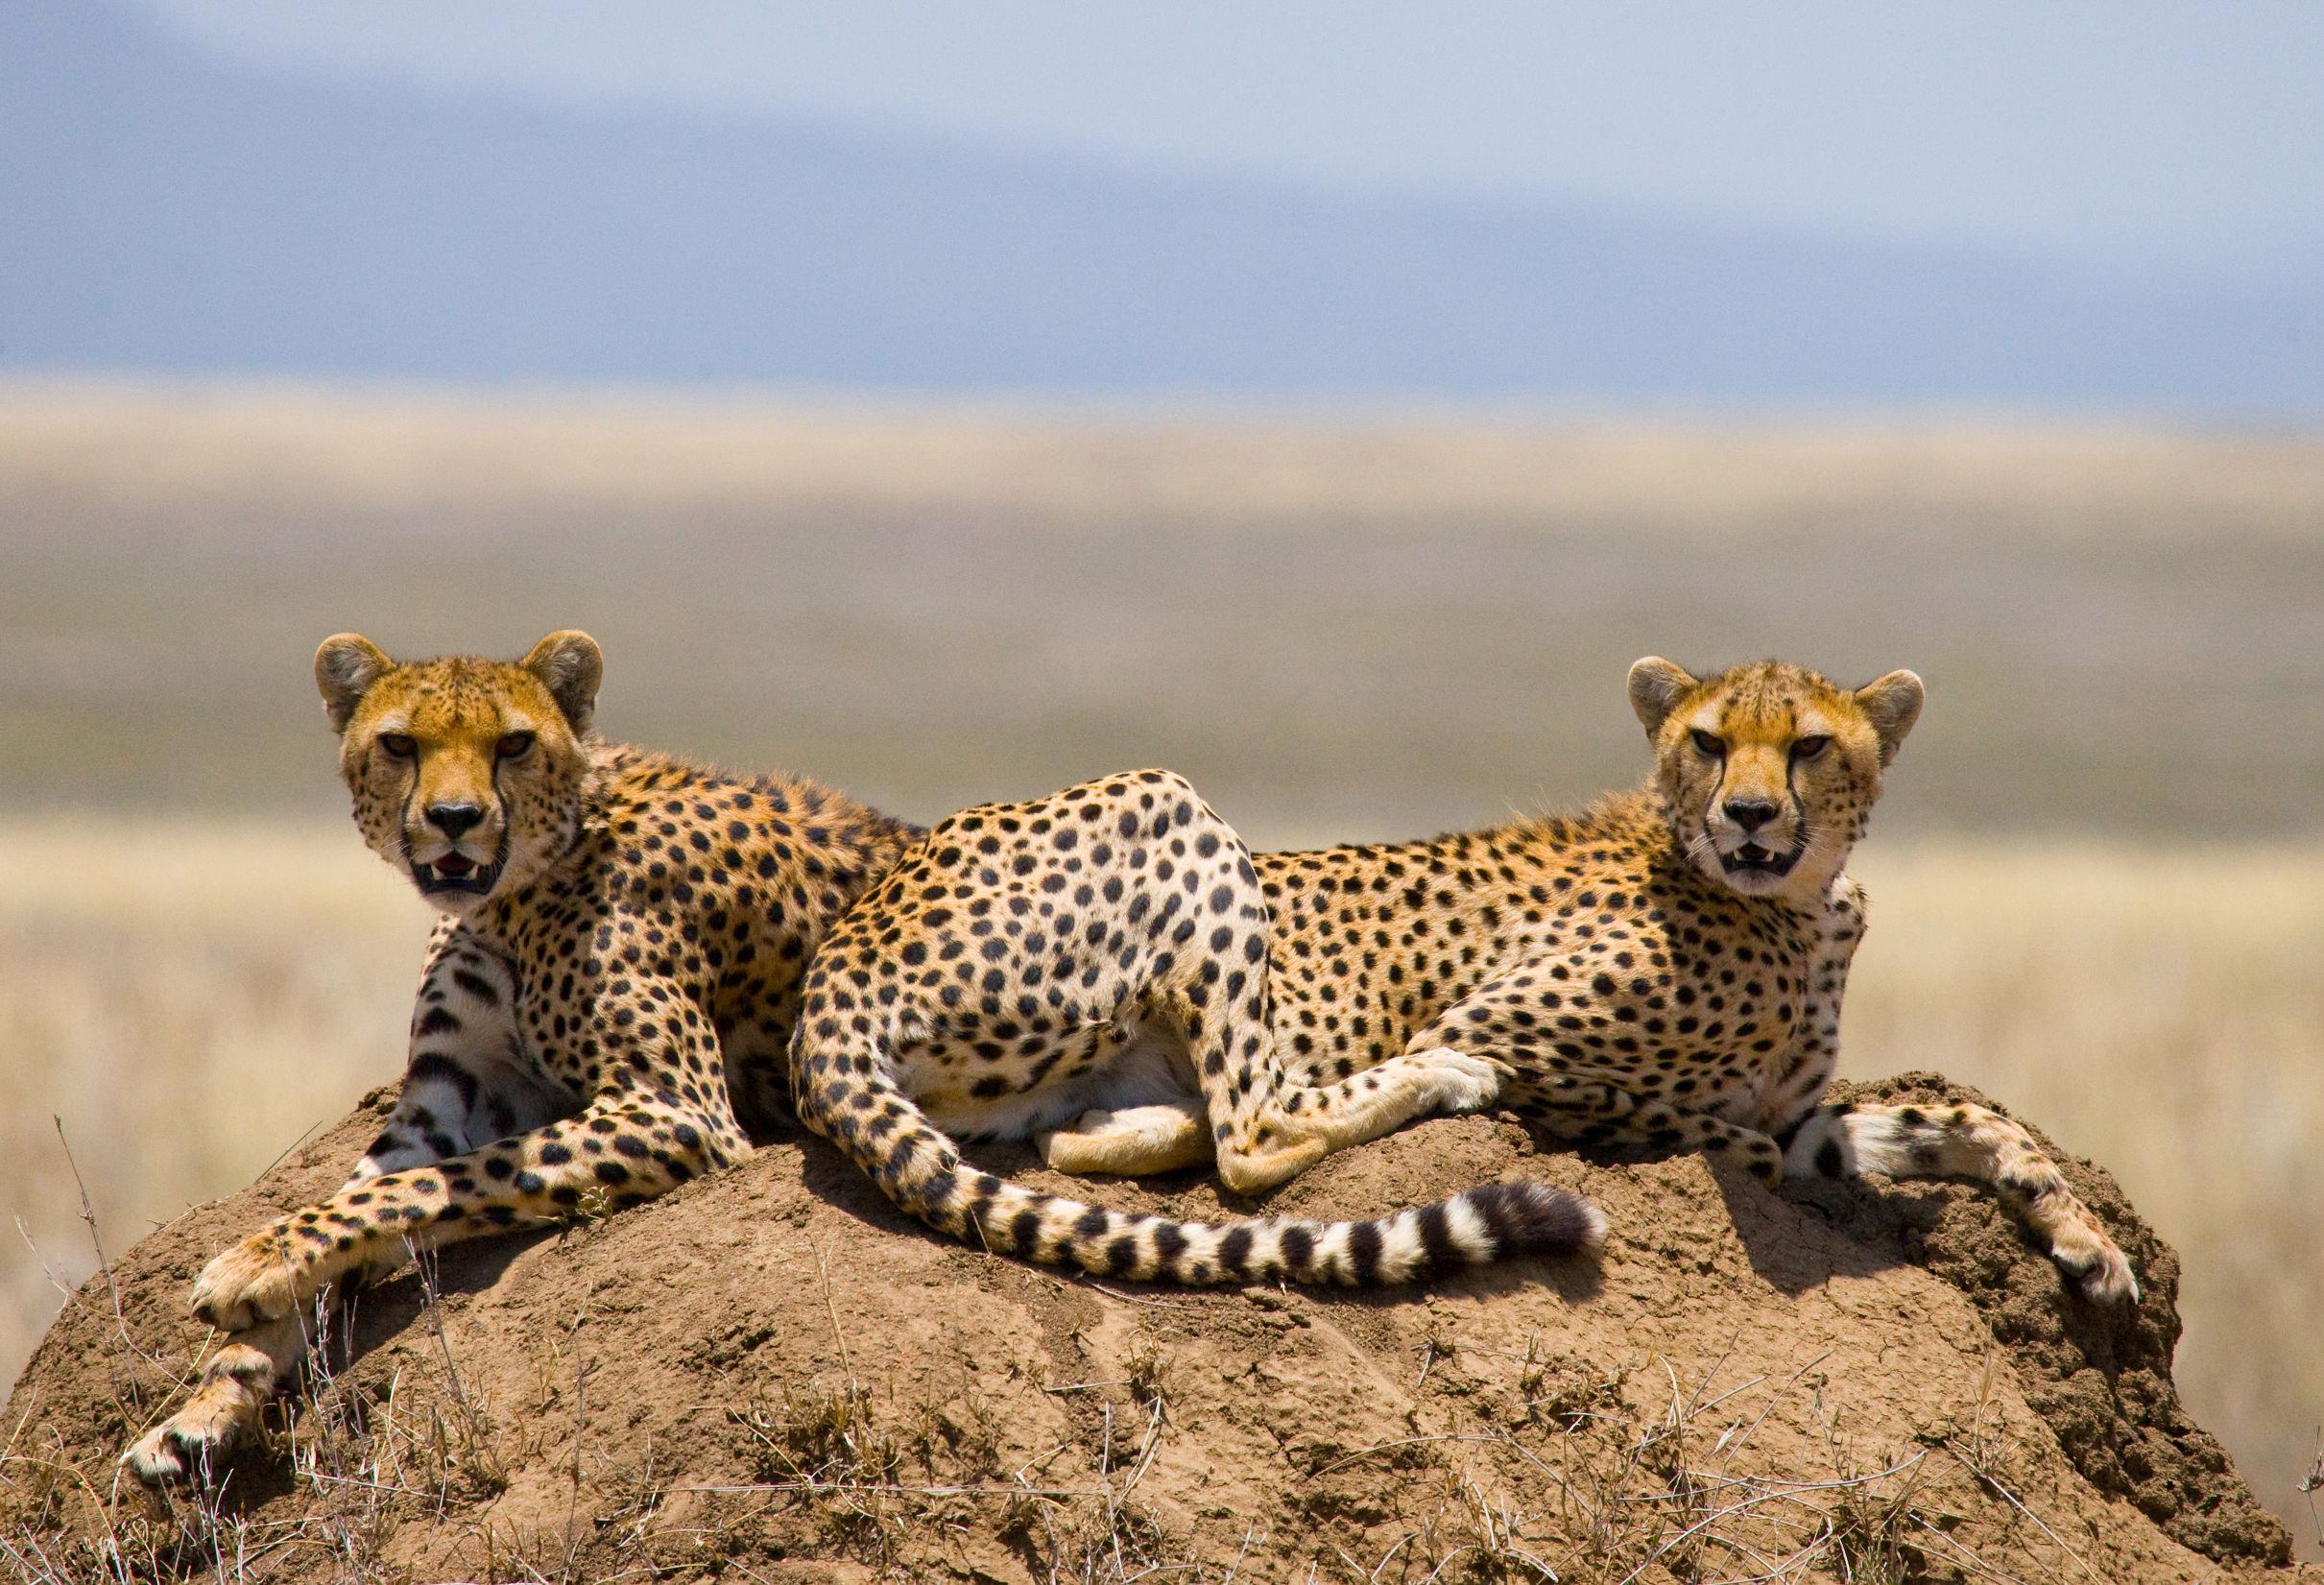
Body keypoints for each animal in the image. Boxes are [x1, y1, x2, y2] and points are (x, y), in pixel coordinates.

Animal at [127, 627, 1598, 1477]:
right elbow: (365, 1205)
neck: (529, 868)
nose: (448, 823)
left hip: (1159, 798)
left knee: (1257, 1138)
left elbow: (412, 1192)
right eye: (399, 742)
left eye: (511, 743)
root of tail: (838, 999)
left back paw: (1449, 1069)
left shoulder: (676, 1111)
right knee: (1167, 1138)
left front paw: (239, 1271)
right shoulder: (443, 1101)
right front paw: (200, 1407)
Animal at [808, 650, 2128, 1291]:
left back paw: (1115, 1133)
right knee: (1254, 1132)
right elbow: (1706, 1134)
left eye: (1808, 746)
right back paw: (1428, 1084)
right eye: (1708, 742)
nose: (1751, 814)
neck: (1794, 903)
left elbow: (1955, 1122)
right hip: (1162, 796)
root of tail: (845, 944)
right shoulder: (1533, 1043)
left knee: (1103, 1141)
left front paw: (2084, 1241)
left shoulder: (1804, 1116)